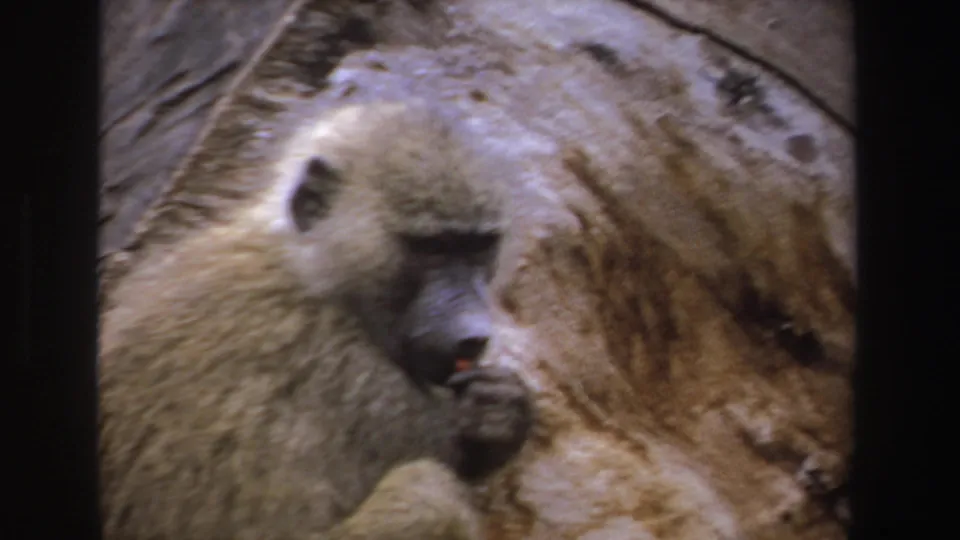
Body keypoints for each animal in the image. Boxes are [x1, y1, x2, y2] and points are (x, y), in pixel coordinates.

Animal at [98, 100, 533, 539]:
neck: (314, 271)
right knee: (431, 497)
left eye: (478, 246)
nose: (473, 336)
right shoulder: (358, 382)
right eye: (432, 247)